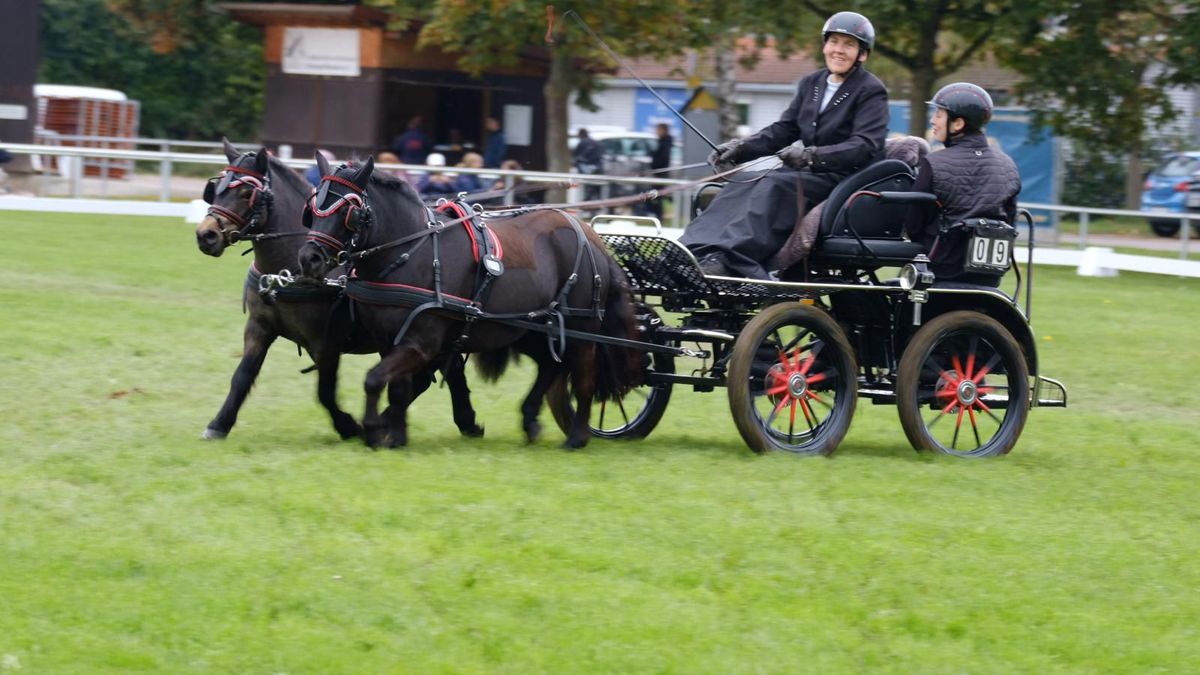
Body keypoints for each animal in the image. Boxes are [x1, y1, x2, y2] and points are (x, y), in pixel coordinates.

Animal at [192, 139, 482, 439]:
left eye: (247, 192)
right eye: (215, 189)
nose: (206, 235)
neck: (289, 271)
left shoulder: (326, 342)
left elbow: (325, 392)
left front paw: (349, 425)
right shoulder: (259, 327)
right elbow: (242, 375)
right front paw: (219, 424)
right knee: (444, 371)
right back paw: (464, 421)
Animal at [294, 153, 643, 446]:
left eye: (348, 212)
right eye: (312, 209)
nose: (309, 259)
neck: (411, 251)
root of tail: (587, 231)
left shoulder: (421, 342)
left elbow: (374, 379)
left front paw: (374, 430)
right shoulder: (387, 340)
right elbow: (398, 388)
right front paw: (396, 435)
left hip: (579, 324)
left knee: (583, 373)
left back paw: (578, 436)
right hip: (528, 327)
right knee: (550, 364)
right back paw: (530, 419)